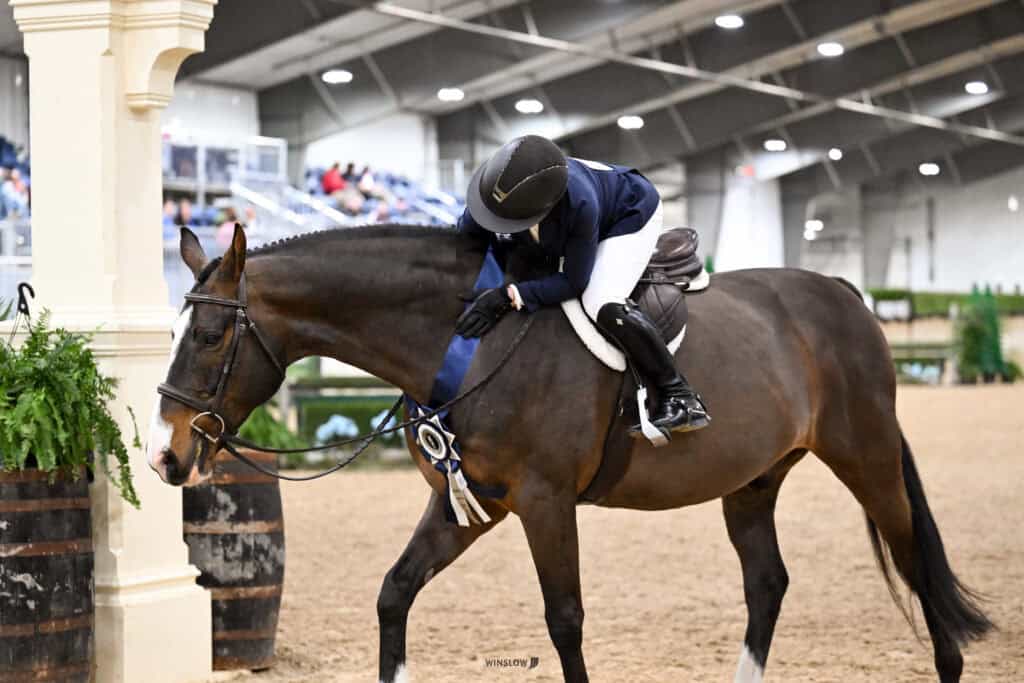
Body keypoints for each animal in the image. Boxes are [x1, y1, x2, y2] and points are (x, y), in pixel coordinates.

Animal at [148, 223, 991, 683]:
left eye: (213, 334)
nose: (168, 454)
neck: (464, 340)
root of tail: (847, 293)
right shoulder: (469, 503)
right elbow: (394, 592)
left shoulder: (545, 502)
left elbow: (565, 619)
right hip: (753, 481)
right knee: (768, 583)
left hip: (867, 457)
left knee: (913, 560)